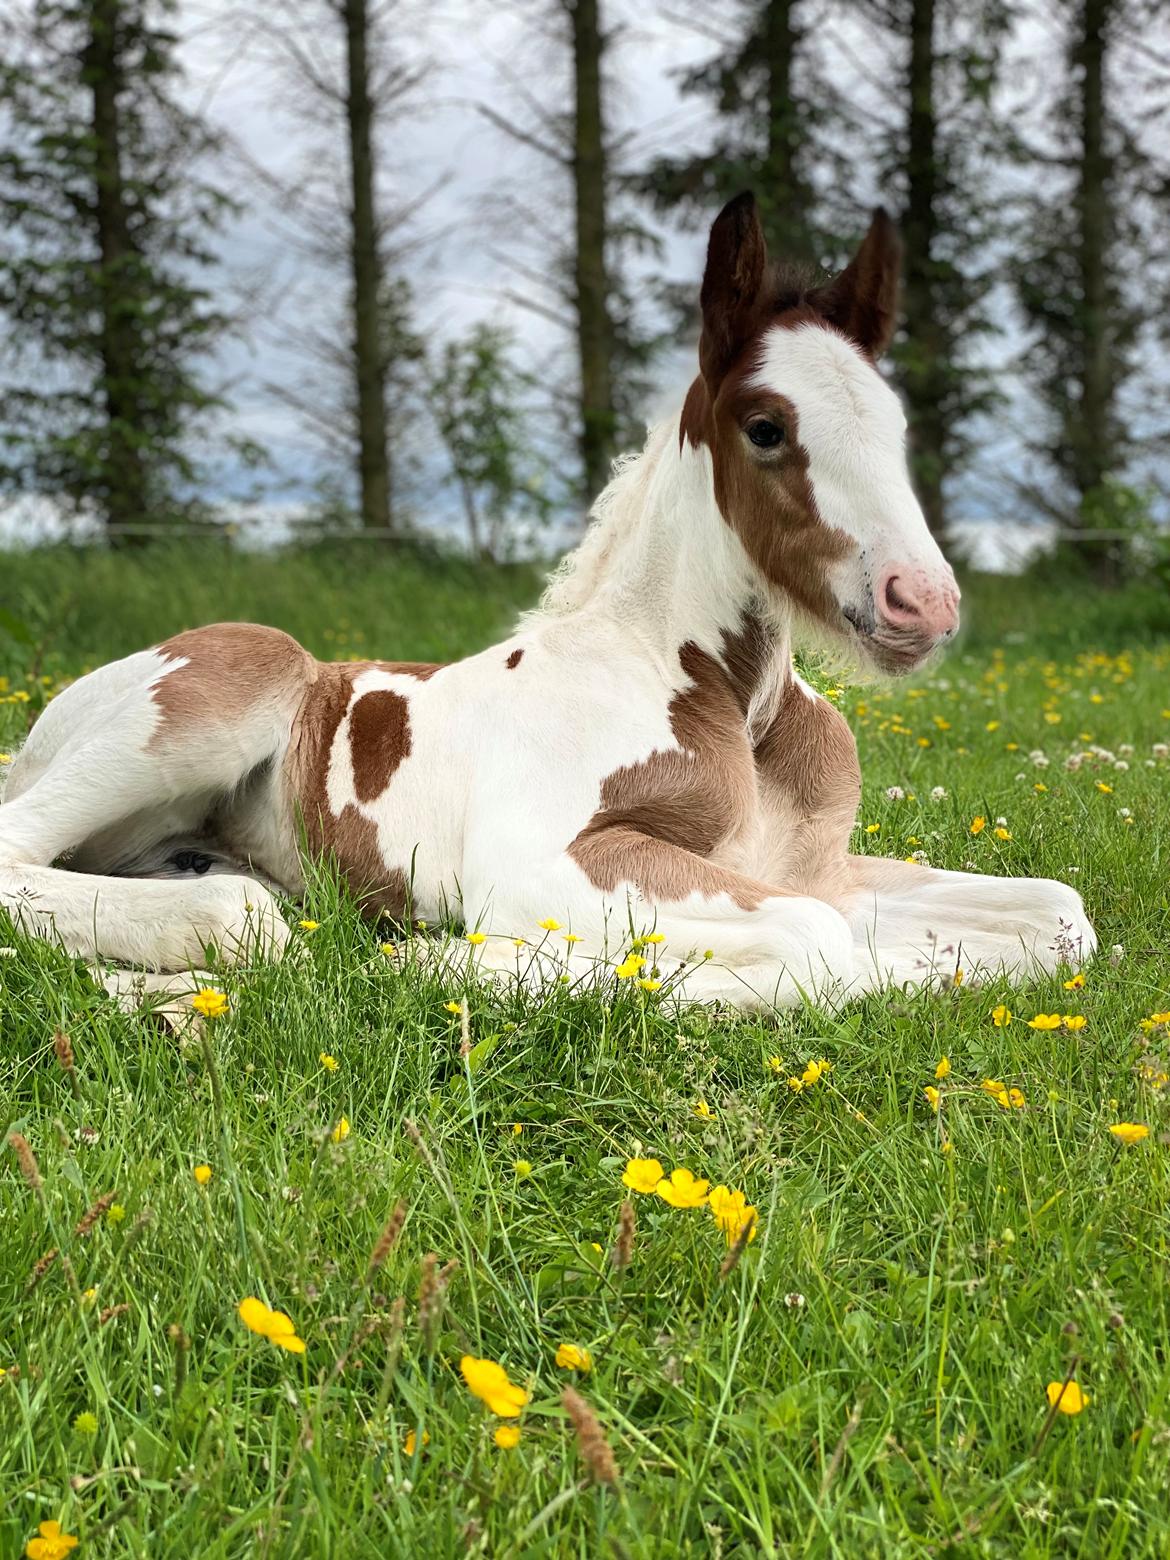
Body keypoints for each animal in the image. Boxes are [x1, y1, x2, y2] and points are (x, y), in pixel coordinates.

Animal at [2, 195, 1098, 1004]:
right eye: (767, 427)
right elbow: (815, 948)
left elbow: (1059, 916)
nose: (922, 603)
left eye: (896, 424)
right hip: (222, 688)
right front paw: (451, 961)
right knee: (106, 878)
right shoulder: (543, 867)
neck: (728, 710)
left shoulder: (816, 867)